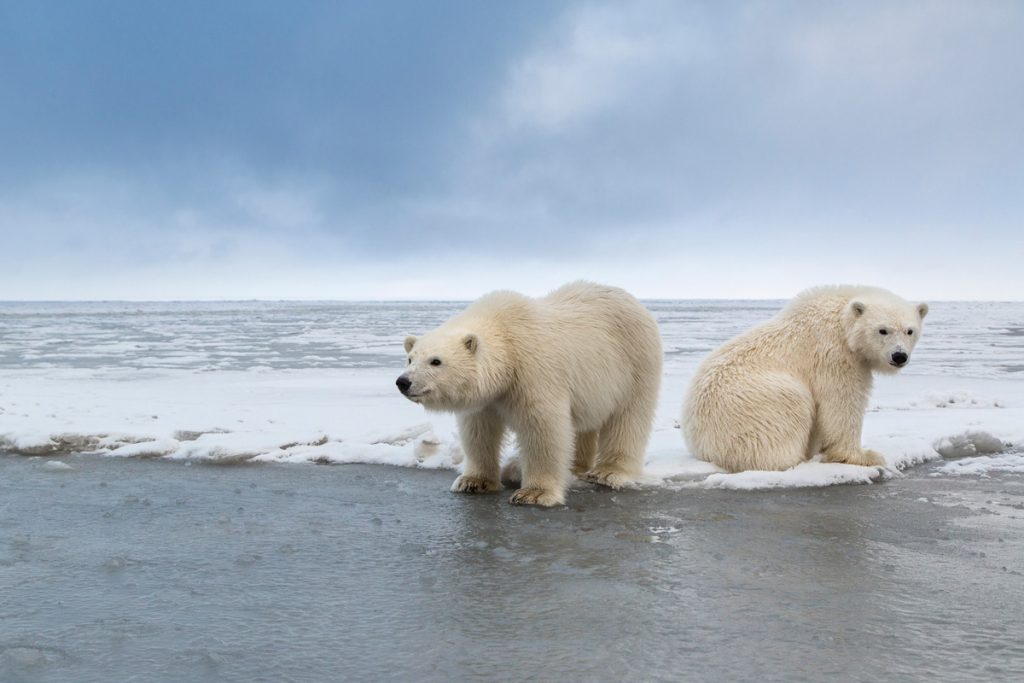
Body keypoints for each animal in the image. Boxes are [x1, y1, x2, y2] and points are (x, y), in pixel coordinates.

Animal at [391, 278, 663, 507]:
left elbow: (543, 429)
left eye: (436, 361)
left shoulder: (534, 372)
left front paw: (534, 493)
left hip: (635, 364)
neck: (507, 345)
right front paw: (473, 481)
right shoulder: (487, 398)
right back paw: (574, 466)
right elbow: (479, 431)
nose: (403, 382)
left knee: (628, 418)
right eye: (410, 358)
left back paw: (609, 472)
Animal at [679, 286, 929, 473]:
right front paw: (865, 456)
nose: (899, 356)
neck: (841, 319)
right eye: (882, 330)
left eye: (909, 330)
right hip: (756, 403)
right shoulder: (834, 354)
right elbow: (842, 402)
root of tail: (699, 444)